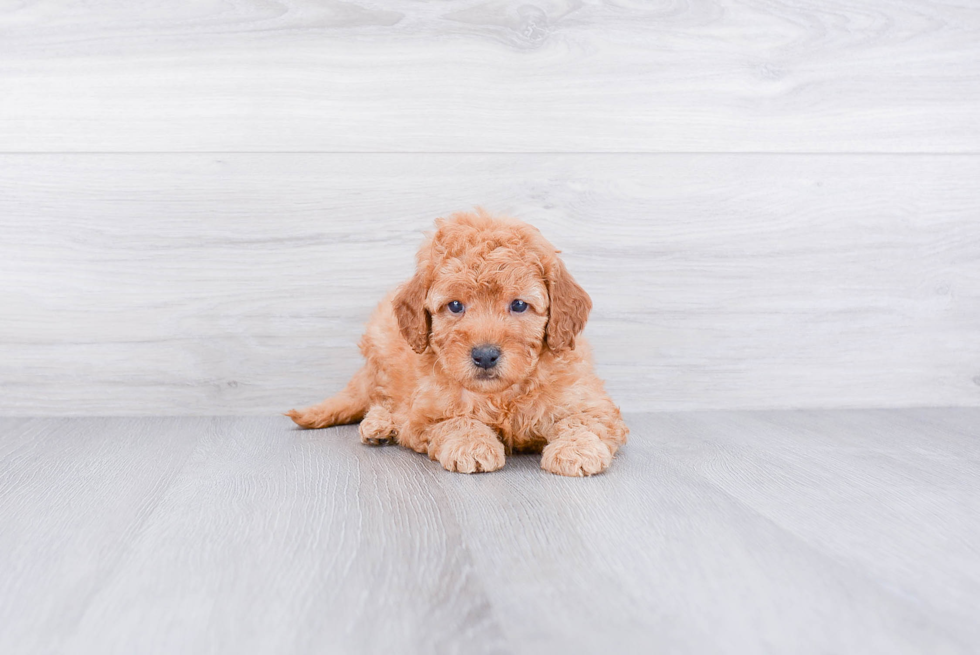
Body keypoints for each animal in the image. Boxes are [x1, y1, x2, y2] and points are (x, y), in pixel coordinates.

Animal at [288, 210, 632, 476]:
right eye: (455, 306)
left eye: (519, 305)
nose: (485, 356)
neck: (502, 394)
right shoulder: (426, 413)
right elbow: (456, 421)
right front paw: (472, 445)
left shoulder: (590, 400)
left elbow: (584, 420)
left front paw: (576, 451)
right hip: (381, 354)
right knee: (381, 400)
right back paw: (379, 425)